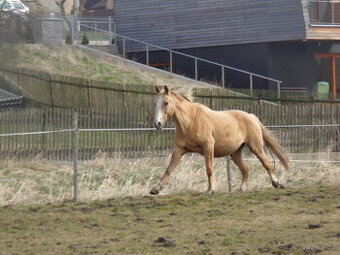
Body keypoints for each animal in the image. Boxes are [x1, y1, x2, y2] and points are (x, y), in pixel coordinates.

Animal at [151, 85, 290, 195]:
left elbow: (209, 169)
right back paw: (241, 188)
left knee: (266, 164)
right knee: (245, 169)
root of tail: (251, 116)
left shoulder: (208, 147)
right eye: (155, 103)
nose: (157, 124)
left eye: (166, 103)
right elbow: (169, 169)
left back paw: (277, 183)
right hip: (235, 153)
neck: (190, 122)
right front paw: (156, 189)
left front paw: (210, 190)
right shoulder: (179, 150)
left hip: (256, 147)